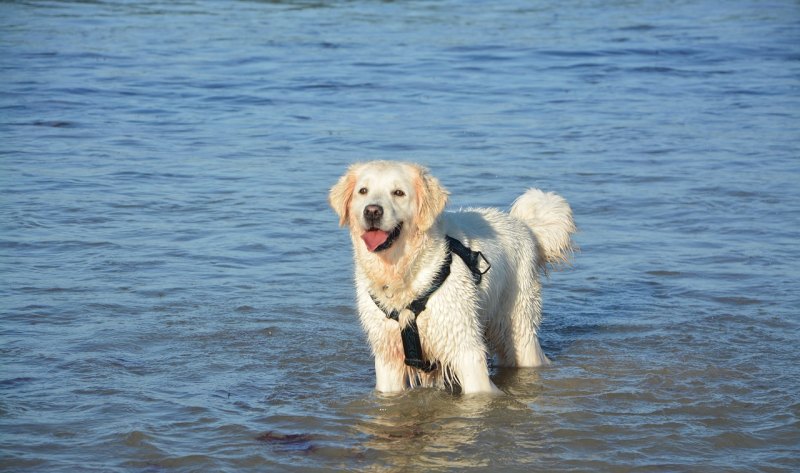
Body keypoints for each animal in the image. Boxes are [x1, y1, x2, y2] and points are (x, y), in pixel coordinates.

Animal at [328, 160, 580, 392]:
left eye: (398, 192)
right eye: (363, 191)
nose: (372, 211)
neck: (402, 272)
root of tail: (524, 226)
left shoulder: (464, 346)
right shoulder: (387, 355)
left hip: (519, 325)